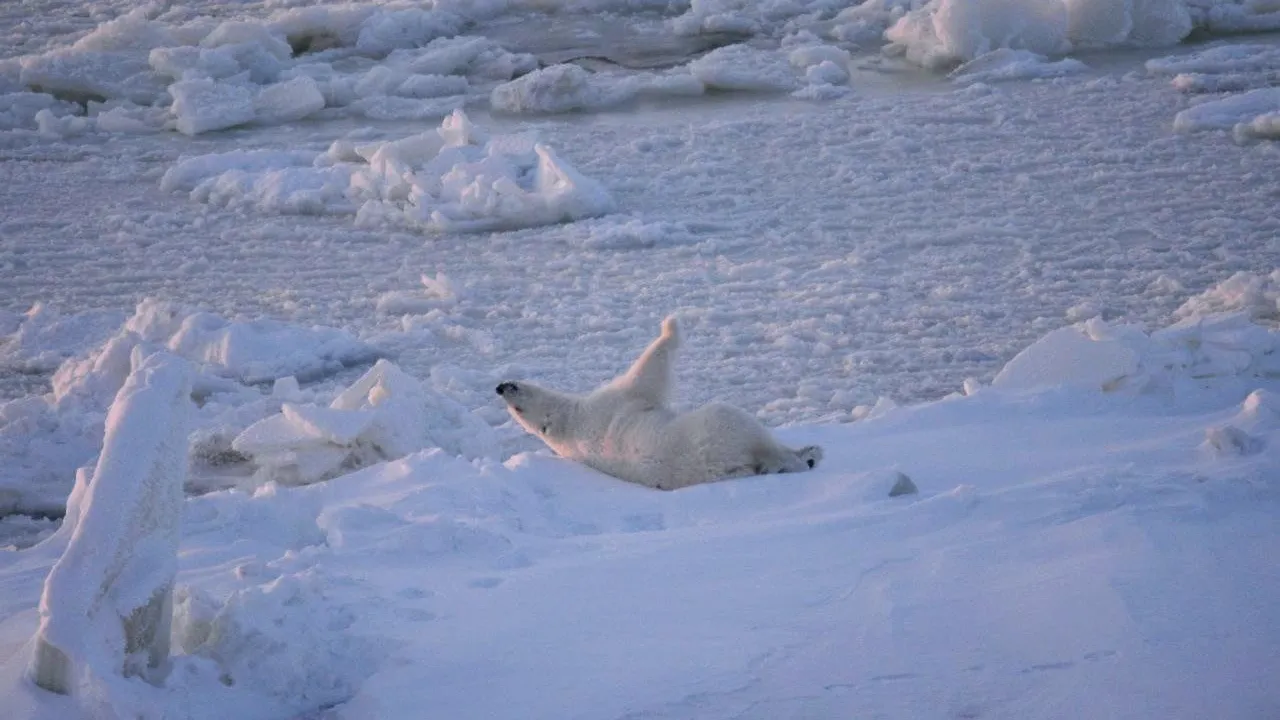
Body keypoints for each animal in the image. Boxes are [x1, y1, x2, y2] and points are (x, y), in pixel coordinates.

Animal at [494, 313, 824, 486]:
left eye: (515, 395)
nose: (501, 386)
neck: (570, 426)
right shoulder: (616, 400)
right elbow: (647, 371)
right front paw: (670, 326)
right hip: (716, 428)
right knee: (749, 431)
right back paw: (805, 455)